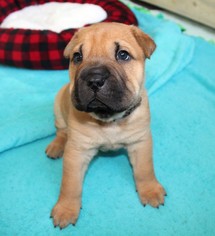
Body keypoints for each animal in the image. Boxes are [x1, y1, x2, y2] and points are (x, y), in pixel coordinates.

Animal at [45, 22, 166, 229]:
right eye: (77, 57)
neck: (110, 119)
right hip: (59, 106)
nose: (94, 80)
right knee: (61, 131)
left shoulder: (140, 142)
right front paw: (66, 209)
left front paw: (150, 190)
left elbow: (145, 169)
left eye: (123, 55)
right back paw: (55, 146)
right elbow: (70, 184)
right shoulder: (76, 152)